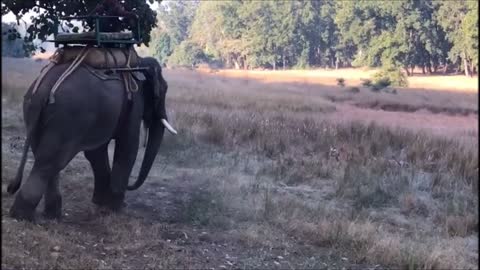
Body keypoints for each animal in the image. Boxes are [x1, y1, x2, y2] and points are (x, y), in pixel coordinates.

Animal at [5, 55, 176, 221]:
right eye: (164, 89)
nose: (129, 188)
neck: (139, 62)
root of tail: (44, 90)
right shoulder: (134, 103)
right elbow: (128, 148)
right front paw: (114, 209)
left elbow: (96, 153)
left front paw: (100, 203)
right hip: (67, 117)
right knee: (49, 162)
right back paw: (22, 216)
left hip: (33, 113)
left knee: (44, 157)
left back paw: (51, 215)